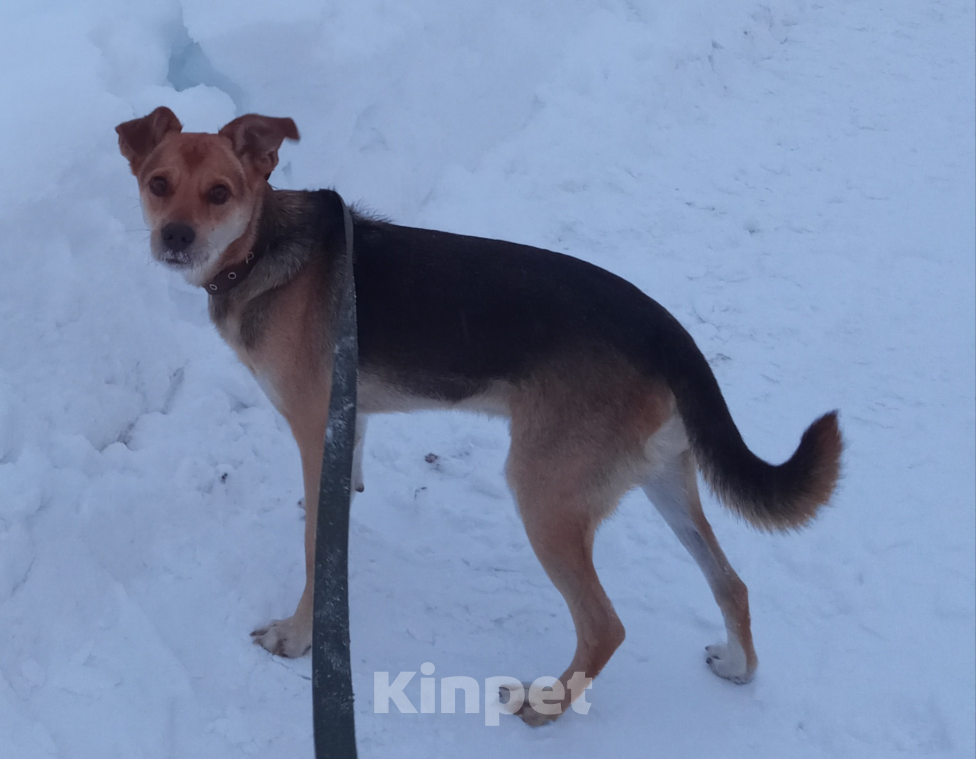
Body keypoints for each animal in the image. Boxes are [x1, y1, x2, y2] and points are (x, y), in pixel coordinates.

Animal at [118, 105, 844, 724]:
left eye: (219, 192)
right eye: (158, 184)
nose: (174, 236)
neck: (261, 248)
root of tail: (666, 333)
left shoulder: (313, 425)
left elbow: (315, 553)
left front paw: (294, 636)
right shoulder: (346, 419)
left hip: (546, 494)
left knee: (606, 626)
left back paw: (545, 705)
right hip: (661, 476)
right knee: (731, 581)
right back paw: (738, 663)